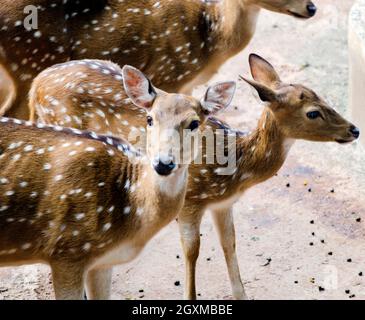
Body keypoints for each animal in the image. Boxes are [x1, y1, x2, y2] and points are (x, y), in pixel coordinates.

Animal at [0, 63, 235, 298]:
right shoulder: (66, 251)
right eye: (149, 119)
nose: (163, 163)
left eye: (194, 123)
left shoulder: (100, 262)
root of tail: (35, 85)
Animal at [29, 53, 360, 298]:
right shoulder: (191, 200)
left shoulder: (223, 204)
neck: (235, 165)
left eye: (324, 98)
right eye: (312, 112)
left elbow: (230, 243)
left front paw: (242, 295)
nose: (354, 129)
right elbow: (192, 251)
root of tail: (34, 85)